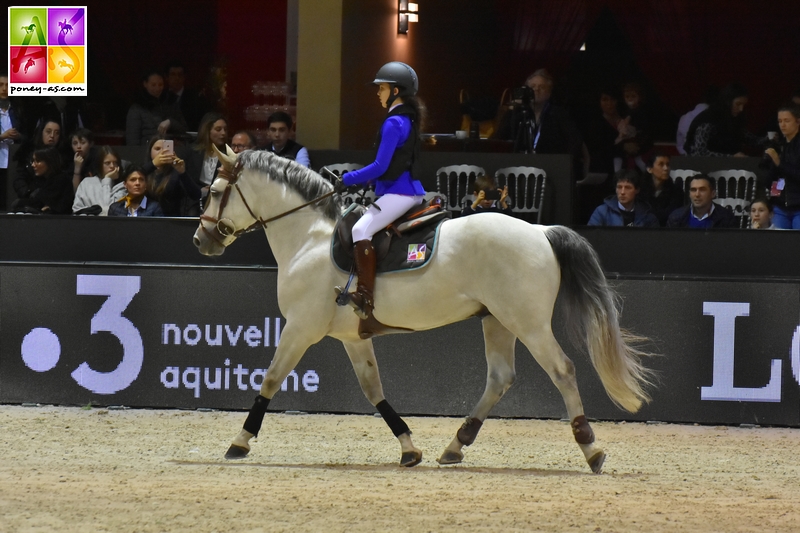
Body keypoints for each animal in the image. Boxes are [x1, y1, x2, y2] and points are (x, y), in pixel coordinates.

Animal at [195, 148, 656, 472]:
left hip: (528, 323)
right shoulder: (350, 336)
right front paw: (409, 448)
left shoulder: (299, 328)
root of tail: (541, 230)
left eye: (215, 193)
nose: (202, 240)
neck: (310, 237)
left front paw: (239, 441)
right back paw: (455, 445)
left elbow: (271, 379)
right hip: (497, 321)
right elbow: (373, 389)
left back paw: (591, 448)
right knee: (500, 378)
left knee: (562, 371)